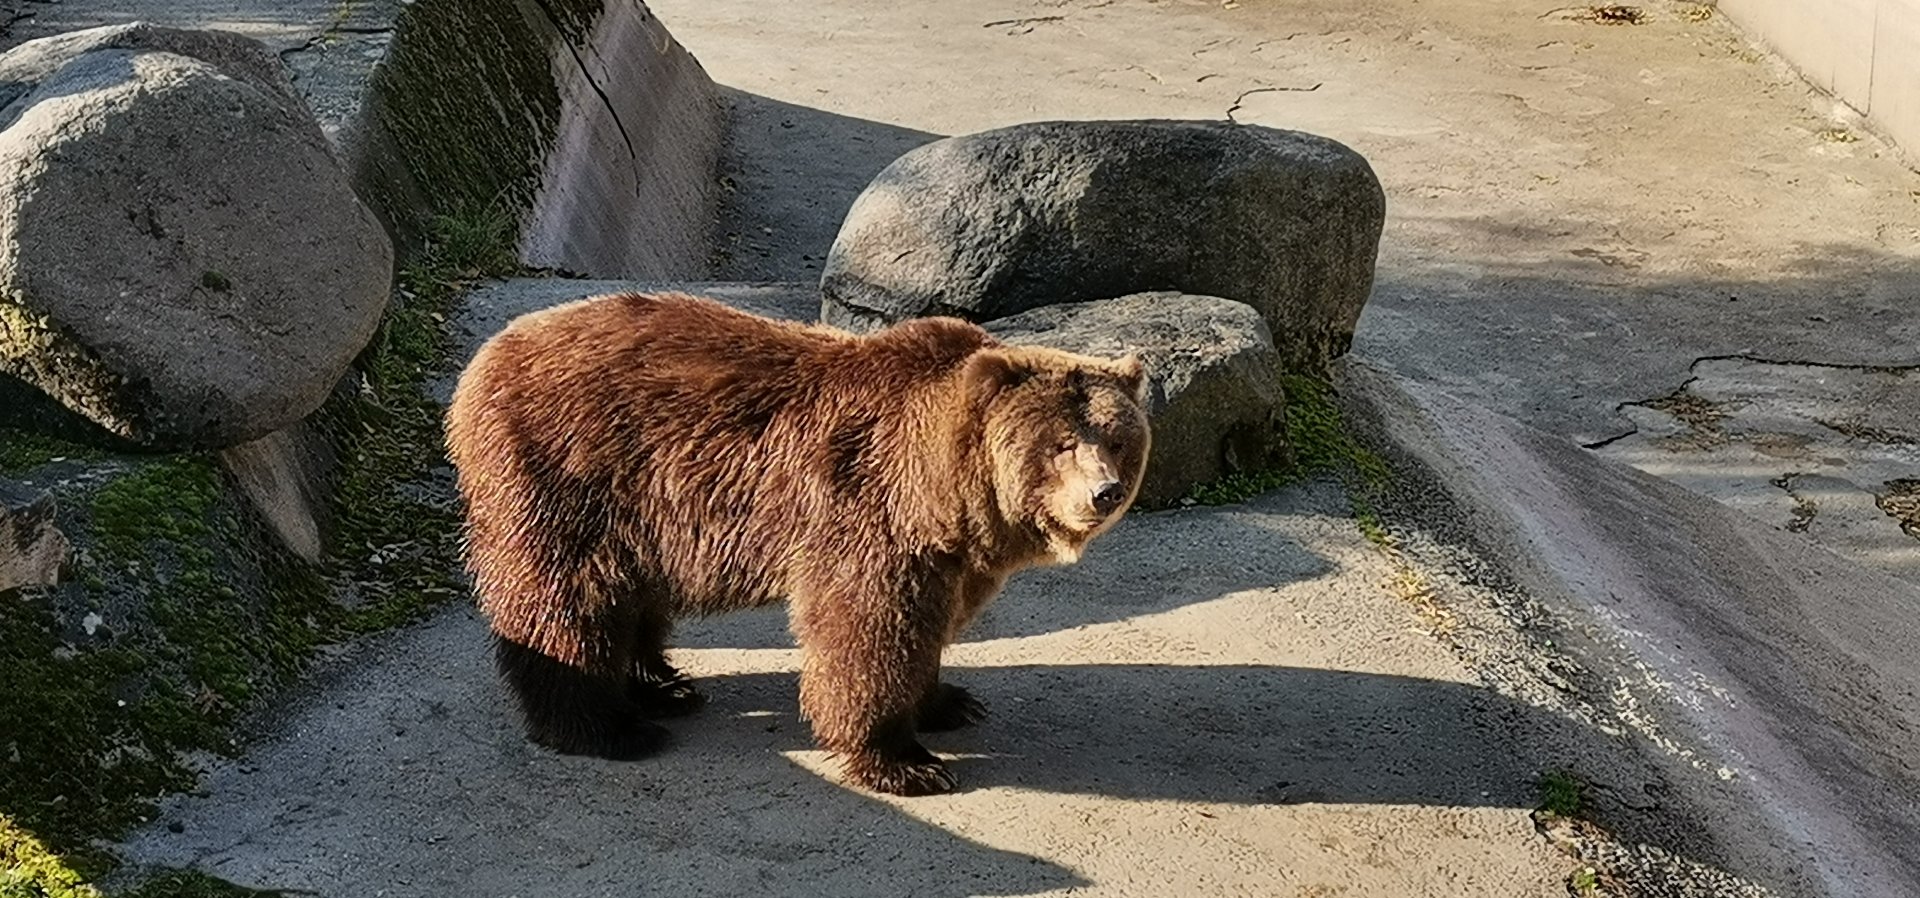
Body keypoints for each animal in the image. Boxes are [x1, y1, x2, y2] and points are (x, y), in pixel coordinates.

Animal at [443, 290, 1151, 795]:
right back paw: (607, 727)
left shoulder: (951, 557)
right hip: (568, 472)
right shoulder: (870, 512)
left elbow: (928, 629)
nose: (1104, 493)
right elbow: (867, 633)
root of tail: (486, 355)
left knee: (632, 595)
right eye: (1062, 444)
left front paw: (950, 701)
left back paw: (663, 686)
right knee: (570, 599)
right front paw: (906, 763)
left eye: (1118, 439)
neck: (945, 493)